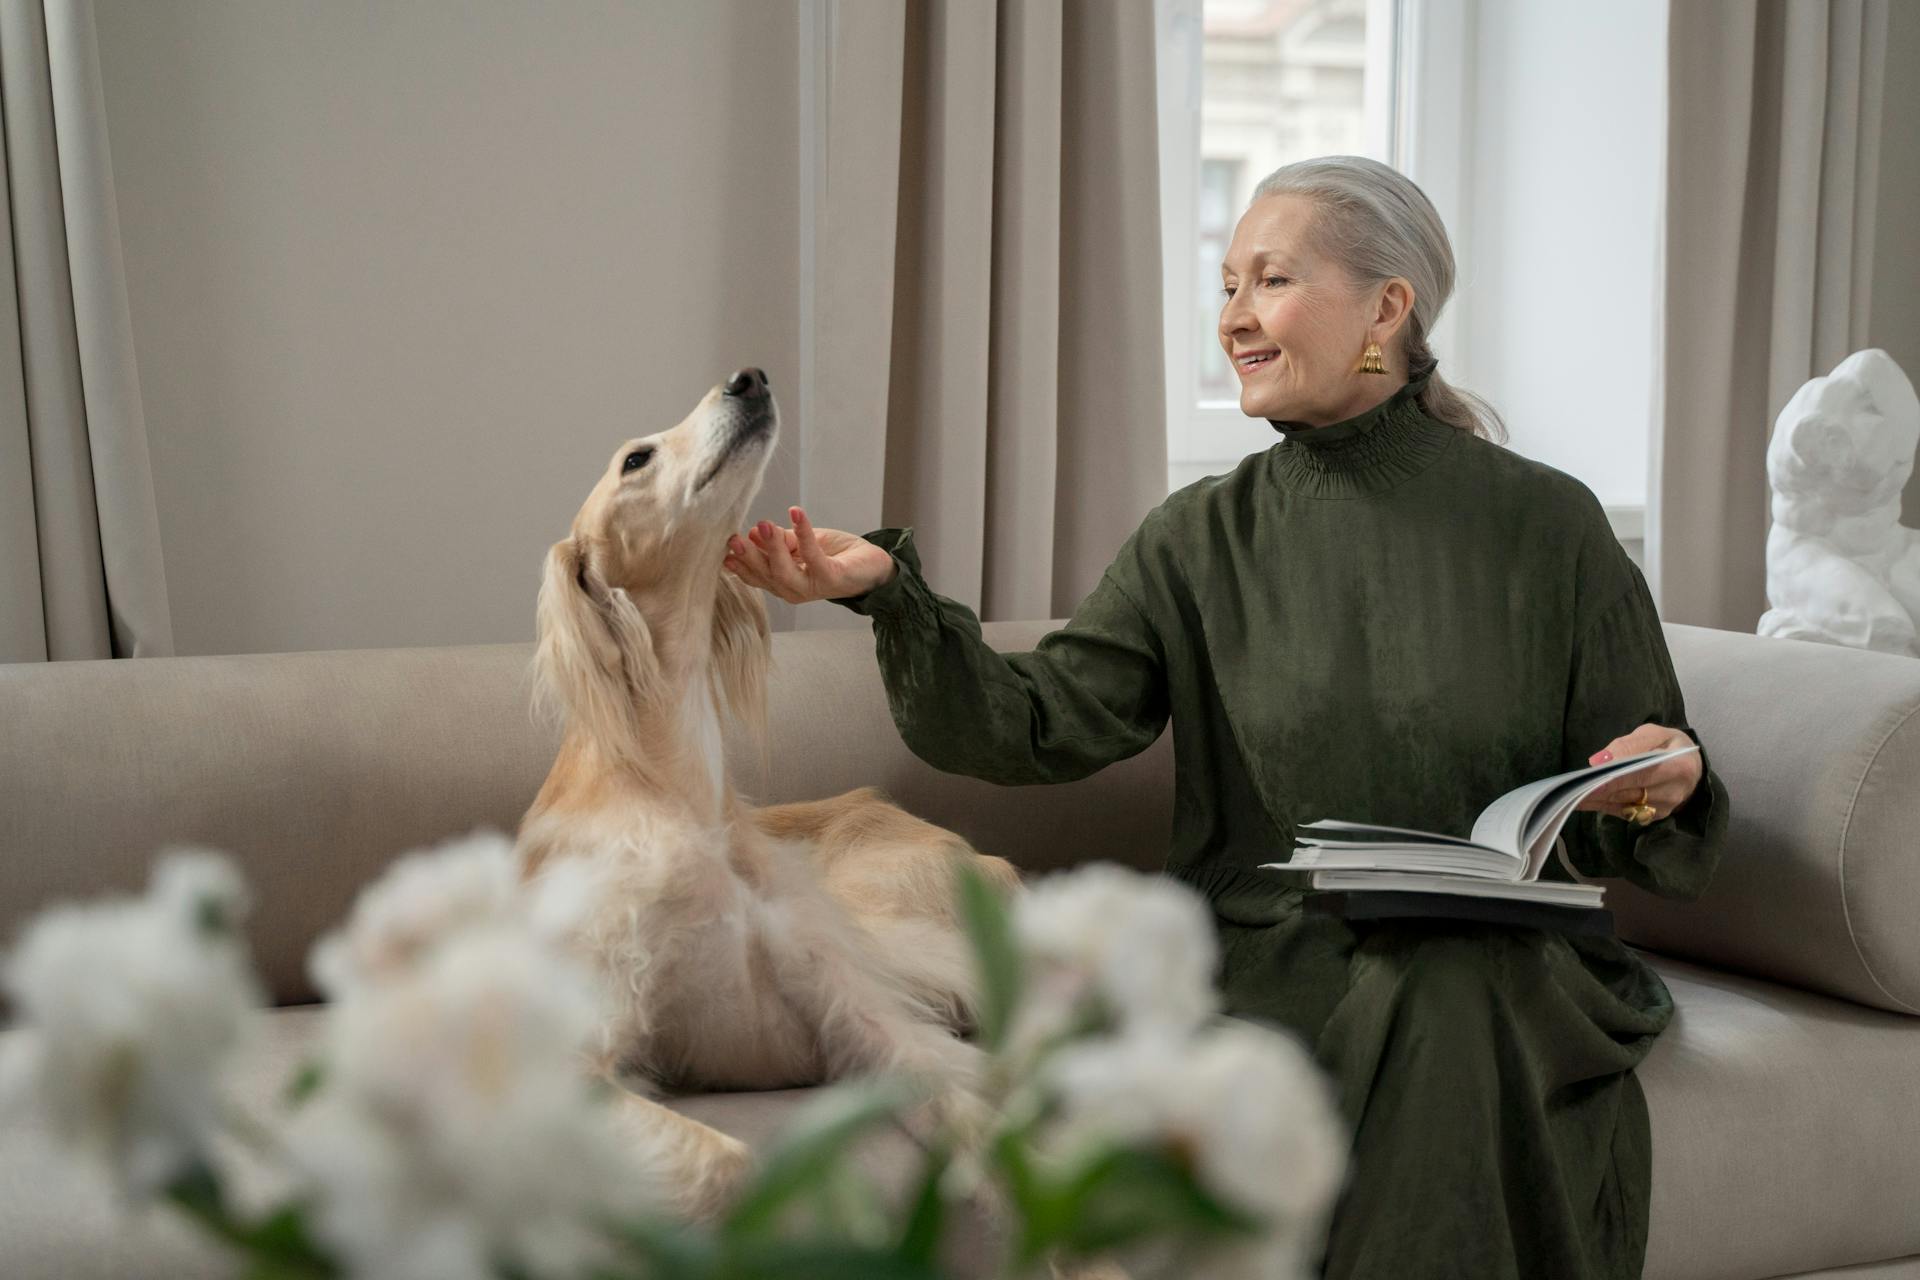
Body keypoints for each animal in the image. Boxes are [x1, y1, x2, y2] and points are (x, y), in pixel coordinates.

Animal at [510, 368, 1021, 1220]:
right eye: (636, 460)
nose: (748, 378)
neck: (674, 790)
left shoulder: (858, 1008)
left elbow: (983, 1127)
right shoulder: (573, 1066)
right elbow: (730, 1166)